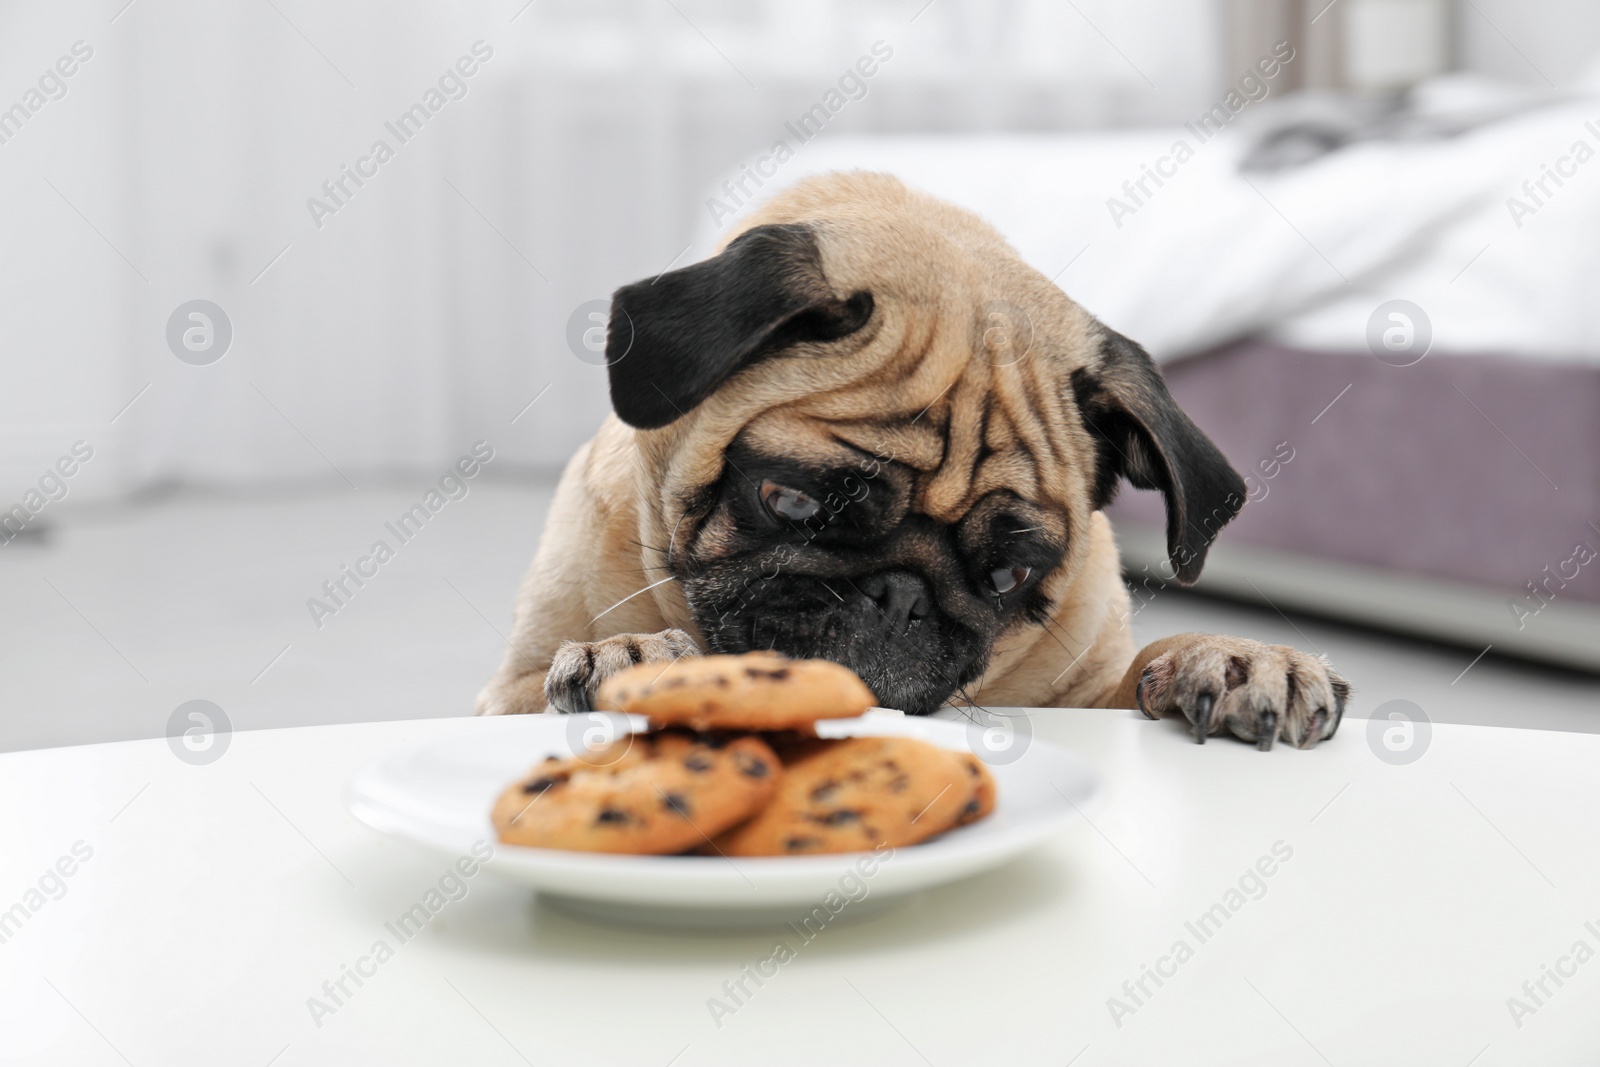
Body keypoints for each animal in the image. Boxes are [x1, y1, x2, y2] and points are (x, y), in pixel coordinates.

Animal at [473, 171, 1350, 751]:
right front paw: (642, 658)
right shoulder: (504, 693)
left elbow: (1142, 667)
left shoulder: (1088, 692)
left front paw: (1233, 658)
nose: (898, 596)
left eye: (1010, 575)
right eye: (791, 502)